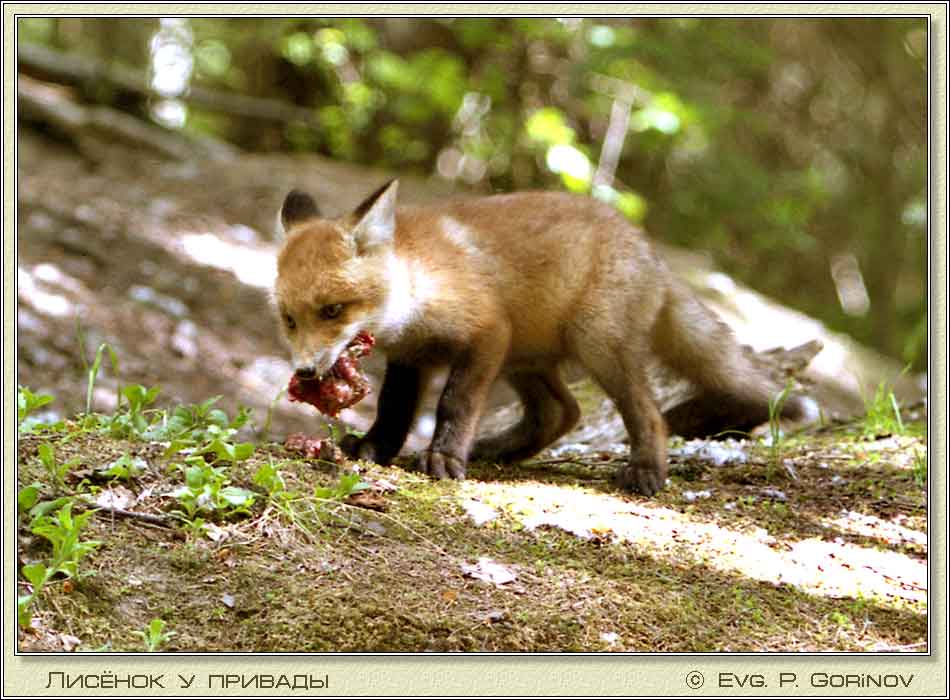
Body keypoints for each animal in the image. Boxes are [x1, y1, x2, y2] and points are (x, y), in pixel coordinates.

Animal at [273, 180, 812, 496]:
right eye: (290, 320)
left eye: (332, 310)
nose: (305, 372)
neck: (415, 287)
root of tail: (650, 250)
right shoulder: (412, 357)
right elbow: (394, 412)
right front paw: (373, 450)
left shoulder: (487, 333)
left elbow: (454, 404)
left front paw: (445, 457)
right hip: (526, 360)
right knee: (562, 412)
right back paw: (498, 449)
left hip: (594, 345)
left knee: (649, 415)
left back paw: (646, 471)